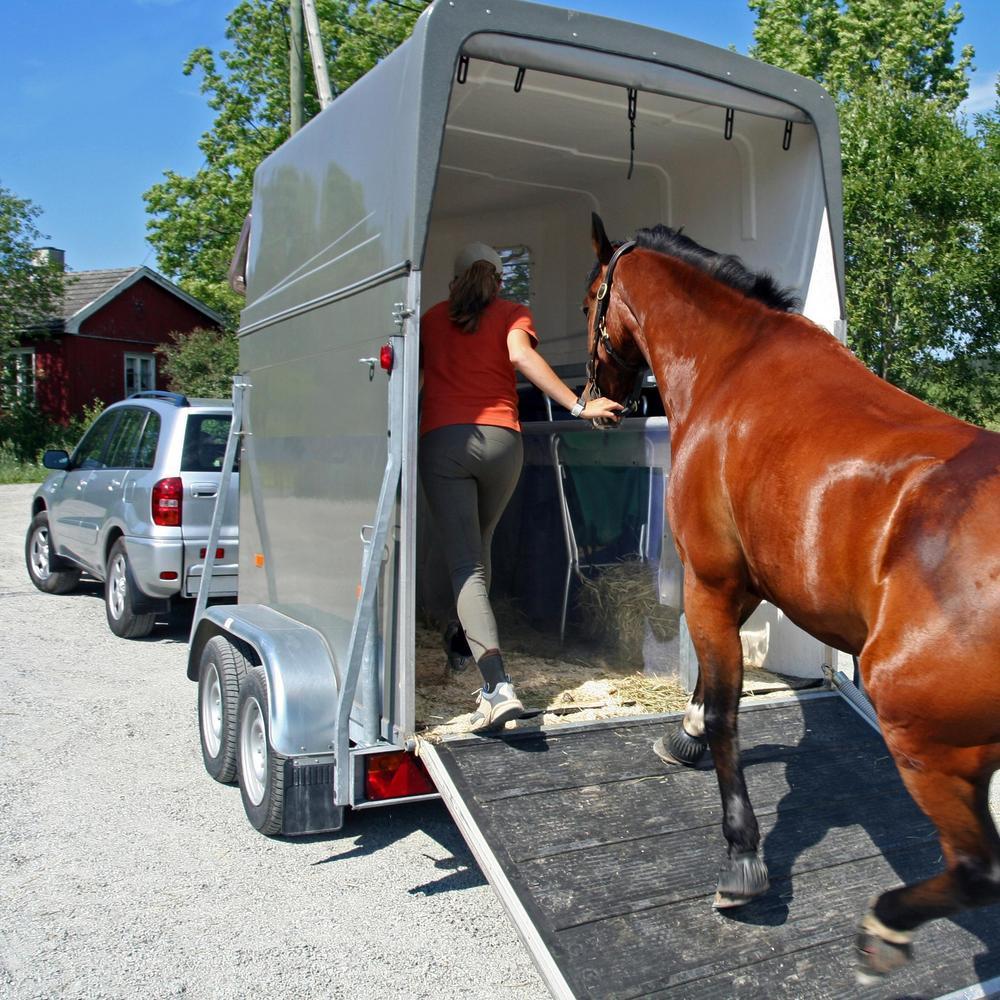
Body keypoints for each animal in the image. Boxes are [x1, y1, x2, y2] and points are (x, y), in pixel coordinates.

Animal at [583, 211, 1000, 984]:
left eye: (591, 294)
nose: (597, 399)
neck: (733, 366)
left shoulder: (711, 578)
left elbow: (725, 710)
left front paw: (742, 858)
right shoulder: (746, 580)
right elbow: (709, 696)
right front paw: (681, 737)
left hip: (927, 743)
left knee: (977, 870)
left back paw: (883, 927)